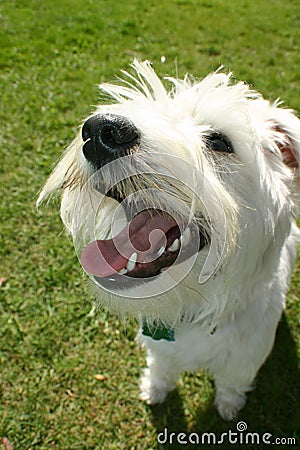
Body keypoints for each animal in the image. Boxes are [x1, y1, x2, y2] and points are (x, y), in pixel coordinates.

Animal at [38, 61, 300, 420]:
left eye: (220, 142)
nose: (101, 131)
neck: (199, 309)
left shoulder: (243, 360)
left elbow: (231, 383)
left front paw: (229, 406)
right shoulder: (161, 348)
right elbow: (162, 367)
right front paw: (155, 389)